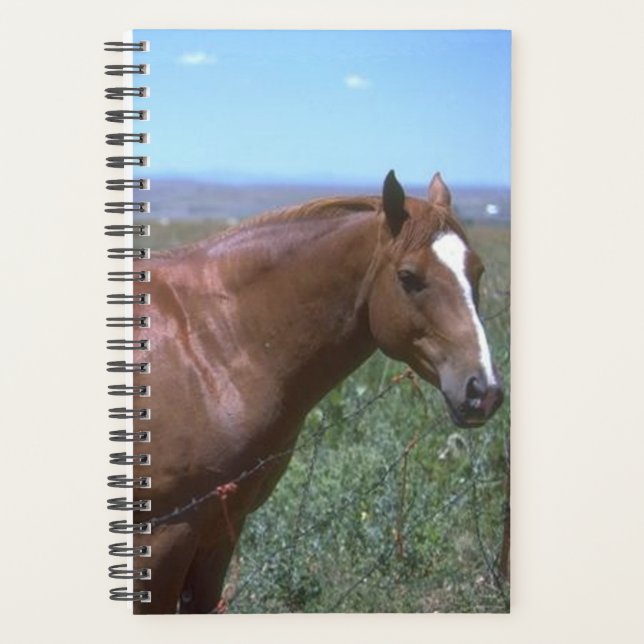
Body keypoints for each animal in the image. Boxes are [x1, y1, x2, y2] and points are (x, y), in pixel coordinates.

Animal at [130, 170, 504, 613]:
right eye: (409, 277)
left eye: (477, 272)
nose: (484, 390)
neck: (208, 345)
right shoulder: (164, 538)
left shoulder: (220, 530)